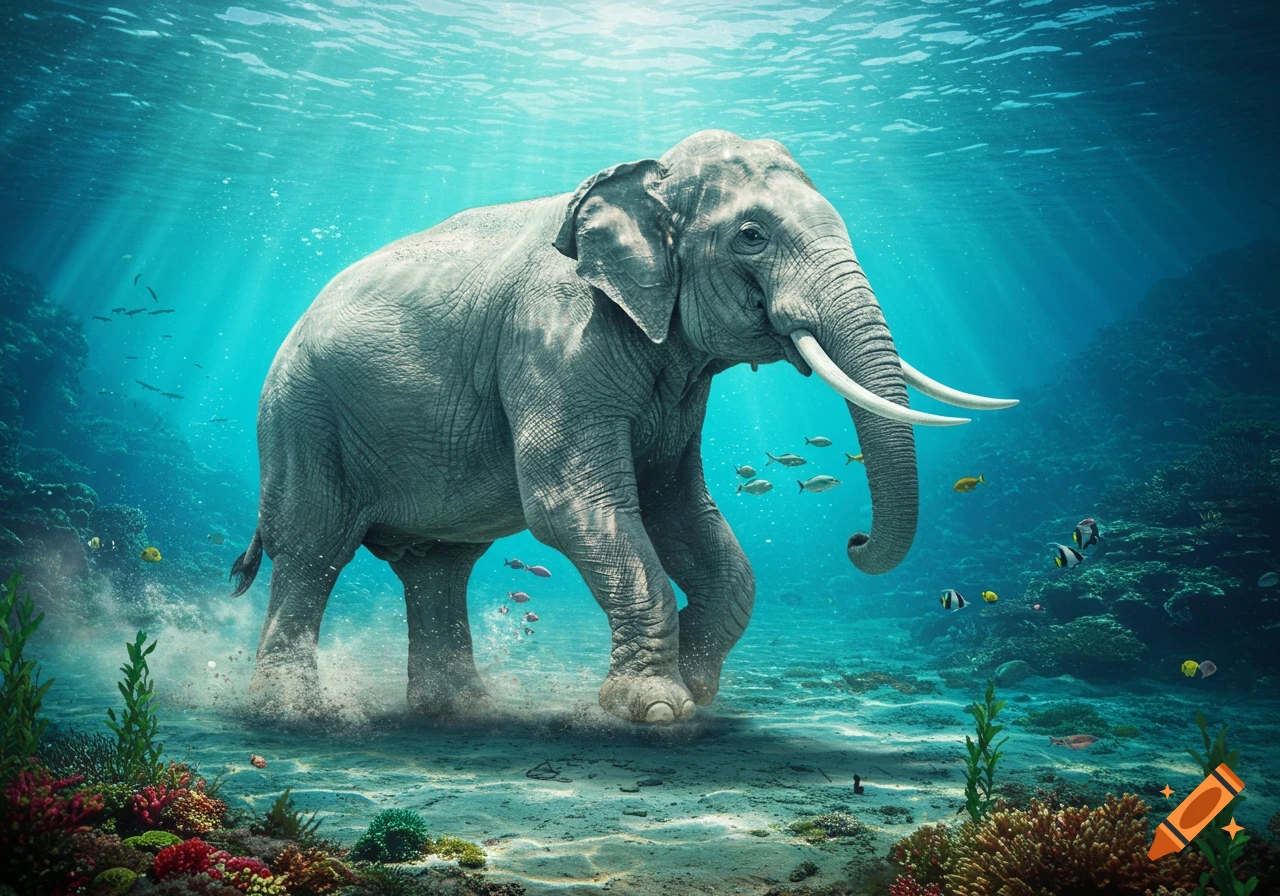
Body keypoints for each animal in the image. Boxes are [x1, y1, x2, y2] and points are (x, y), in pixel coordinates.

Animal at [229, 129, 1016, 724]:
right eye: (752, 236)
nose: (852, 539)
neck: (647, 175)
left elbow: (685, 515)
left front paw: (696, 686)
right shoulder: (555, 342)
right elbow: (576, 507)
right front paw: (657, 707)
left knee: (438, 567)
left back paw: (459, 711)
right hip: (300, 416)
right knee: (312, 548)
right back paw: (293, 714)